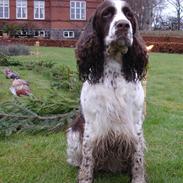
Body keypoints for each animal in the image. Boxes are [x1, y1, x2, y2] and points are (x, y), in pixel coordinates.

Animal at [66, 0, 148, 182]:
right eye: (106, 14)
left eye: (128, 14)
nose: (123, 25)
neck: (113, 72)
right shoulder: (91, 123)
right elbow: (87, 158)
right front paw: (85, 178)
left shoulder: (135, 123)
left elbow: (138, 157)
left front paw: (138, 178)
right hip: (74, 131)